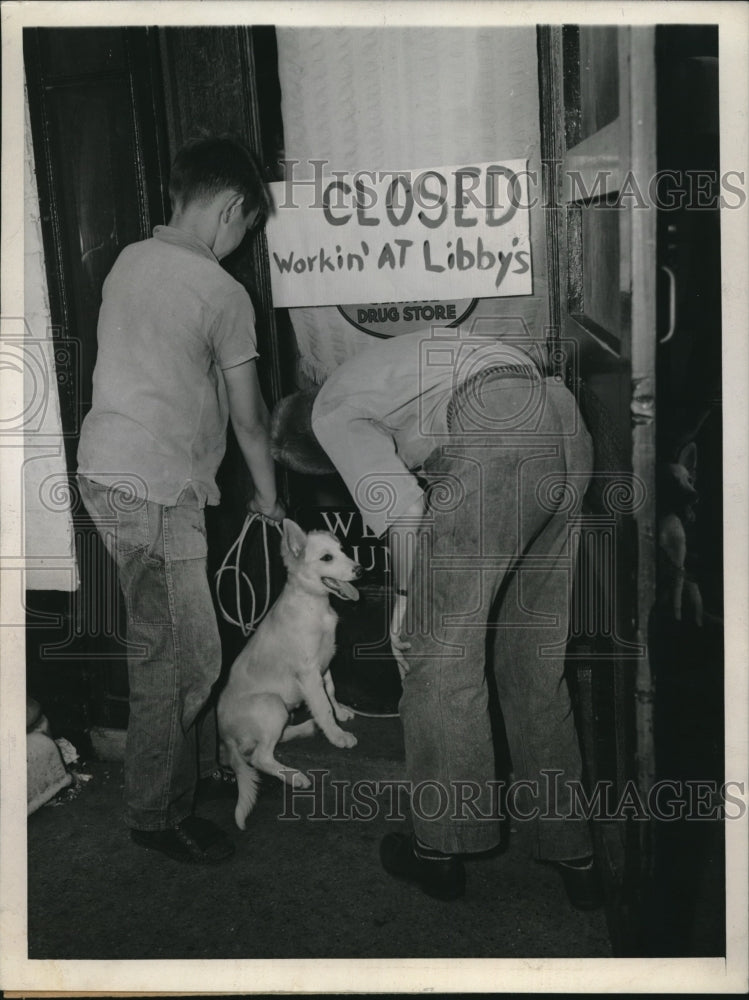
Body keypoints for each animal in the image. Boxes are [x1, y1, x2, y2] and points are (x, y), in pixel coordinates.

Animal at [218, 520, 360, 832]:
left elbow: (331, 692)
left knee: (270, 743)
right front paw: (337, 735)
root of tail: (224, 736)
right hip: (271, 704)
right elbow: (322, 705)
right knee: (260, 757)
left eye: (342, 550)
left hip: (280, 711)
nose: (359, 569)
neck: (314, 605)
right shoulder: (308, 672)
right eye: (327, 558)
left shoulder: (324, 664)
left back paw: (305, 728)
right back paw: (295, 776)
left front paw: (341, 713)